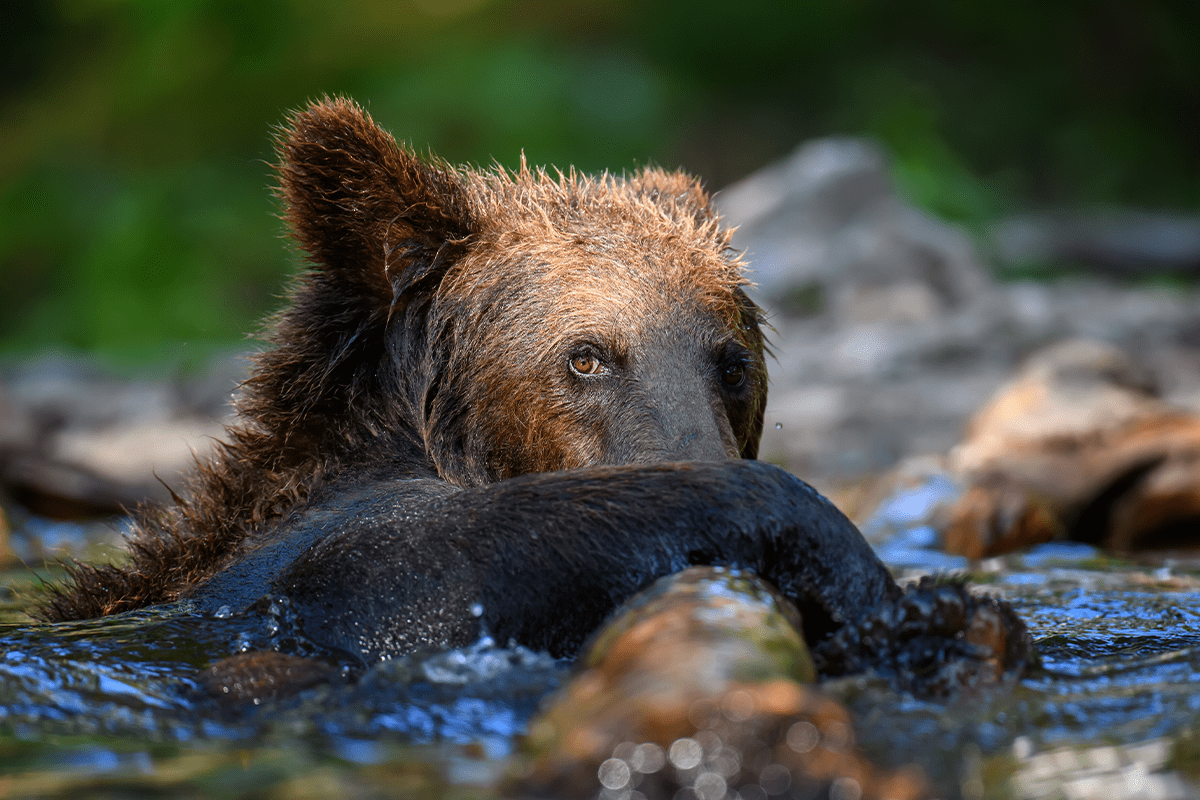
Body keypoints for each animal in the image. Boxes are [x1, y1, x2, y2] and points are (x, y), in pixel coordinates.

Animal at [42, 97, 1027, 690]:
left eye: (732, 362)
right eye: (586, 358)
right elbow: (442, 563)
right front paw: (913, 602)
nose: (696, 445)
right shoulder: (325, 567)